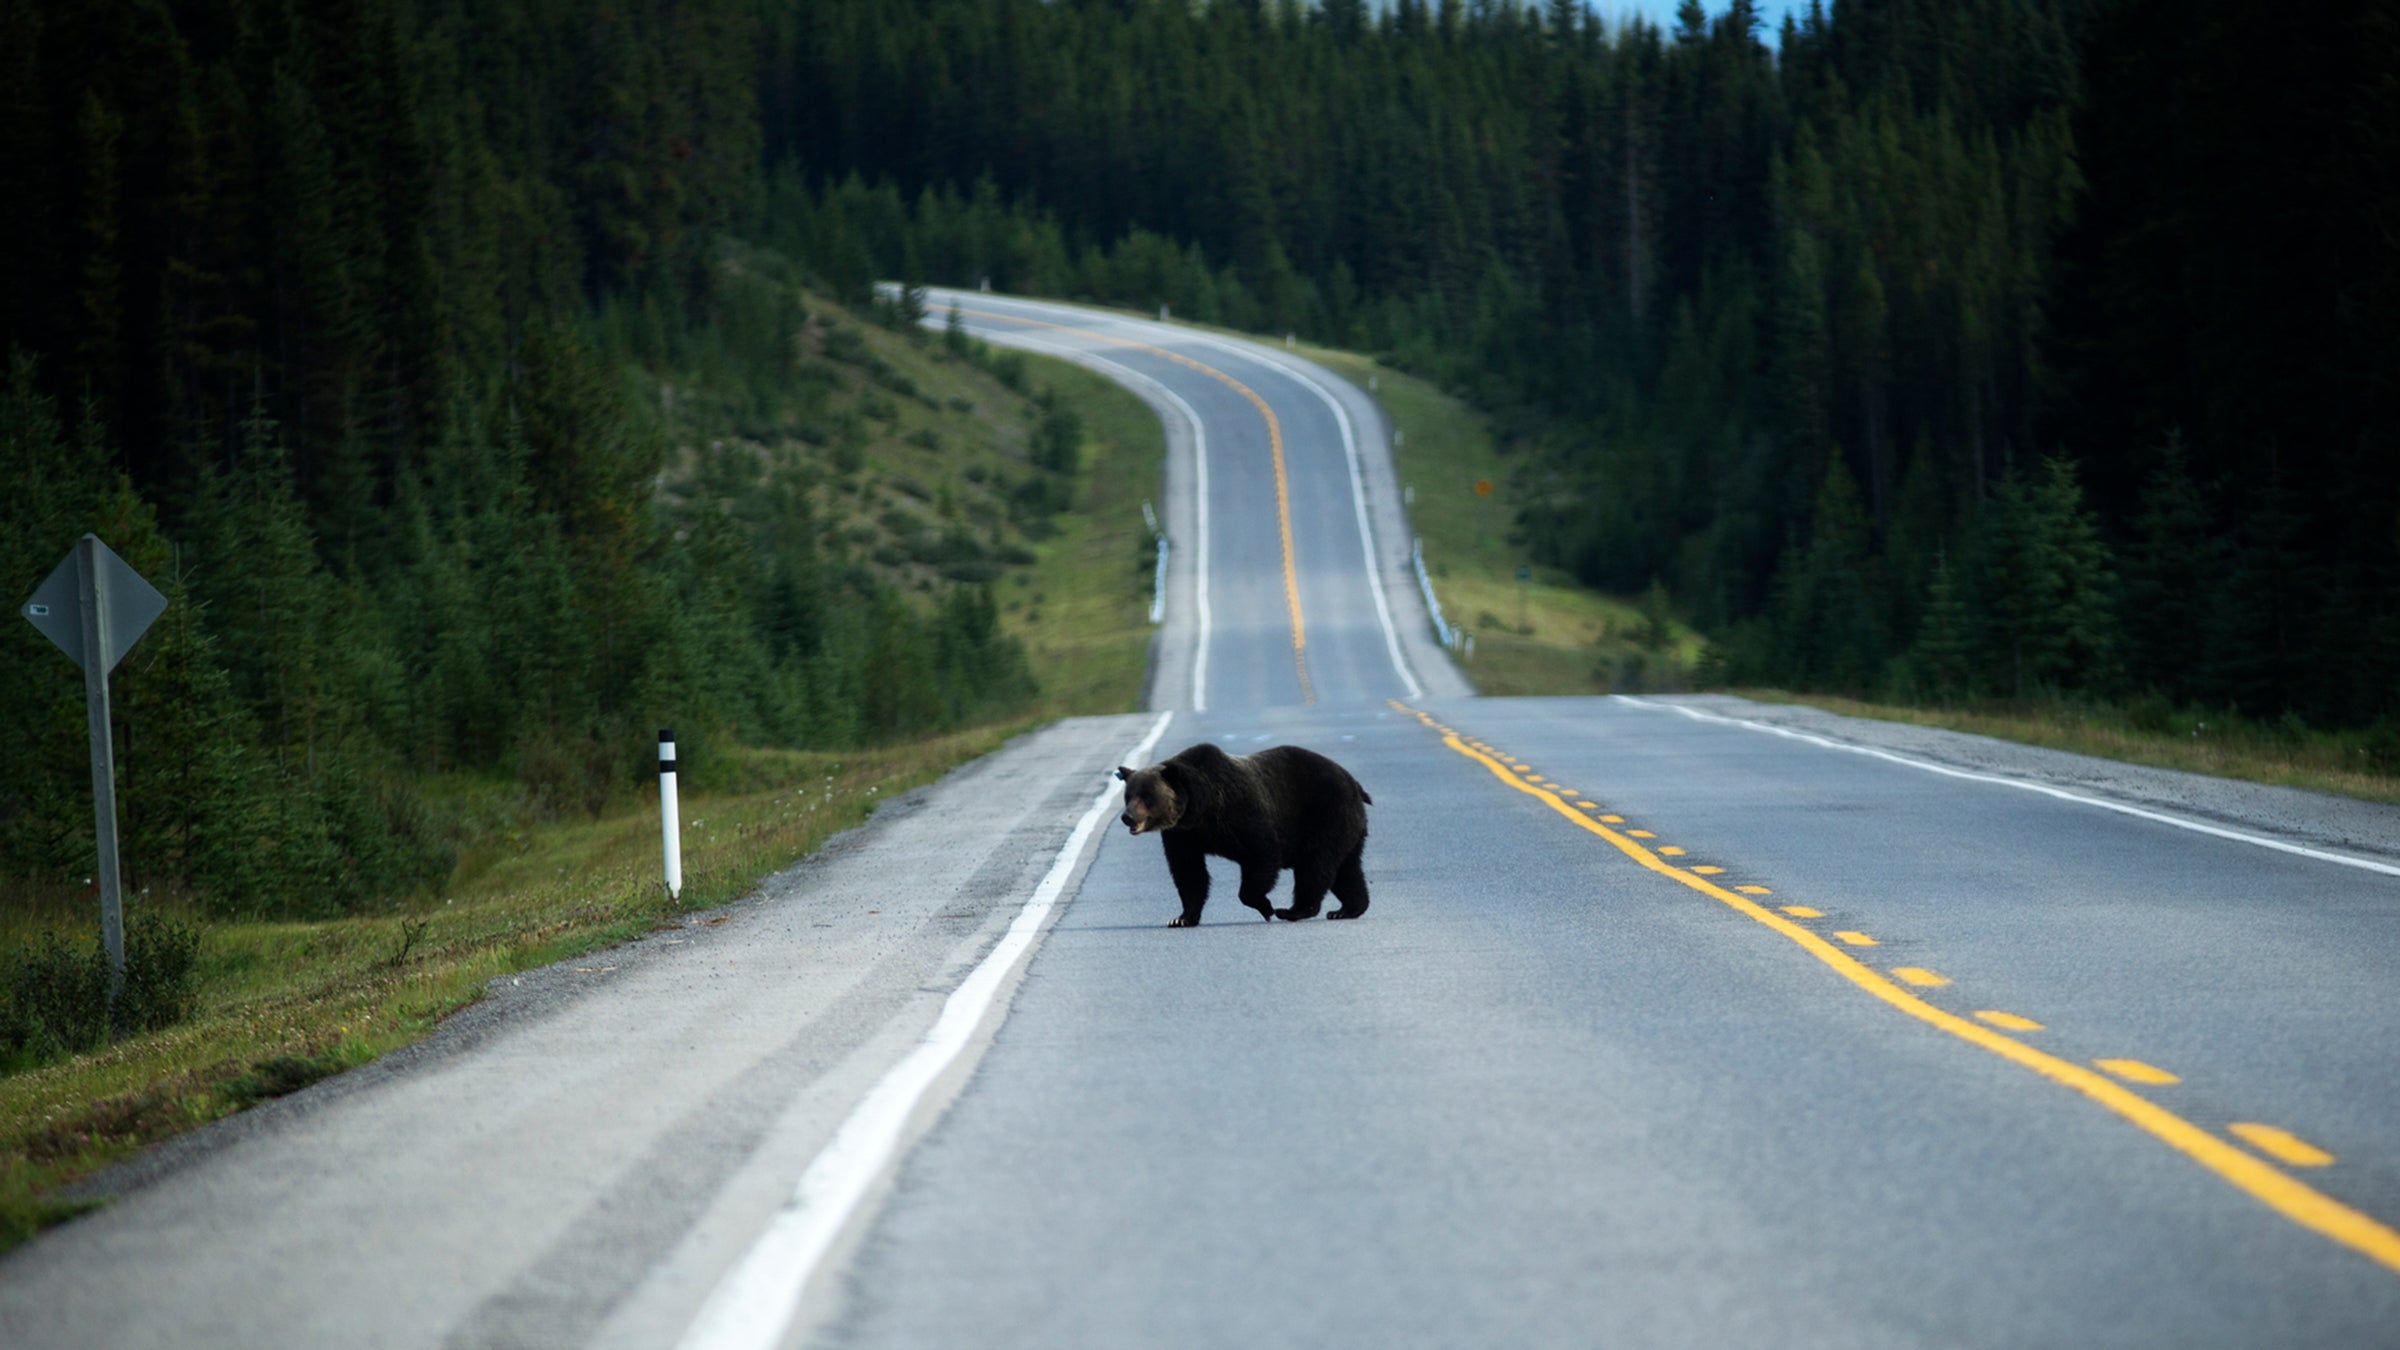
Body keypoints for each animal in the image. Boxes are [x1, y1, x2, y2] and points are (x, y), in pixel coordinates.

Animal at [1114, 741, 1372, 928]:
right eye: (1128, 795)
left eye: (1147, 796)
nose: (1127, 817)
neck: (1200, 809)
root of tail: (1354, 783)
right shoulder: (1183, 835)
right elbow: (1188, 873)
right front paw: (1181, 918)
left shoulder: (1241, 814)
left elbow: (1262, 854)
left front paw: (1266, 907)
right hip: (1346, 829)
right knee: (1346, 869)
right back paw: (1346, 909)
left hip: (1325, 815)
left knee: (1315, 866)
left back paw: (1293, 910)